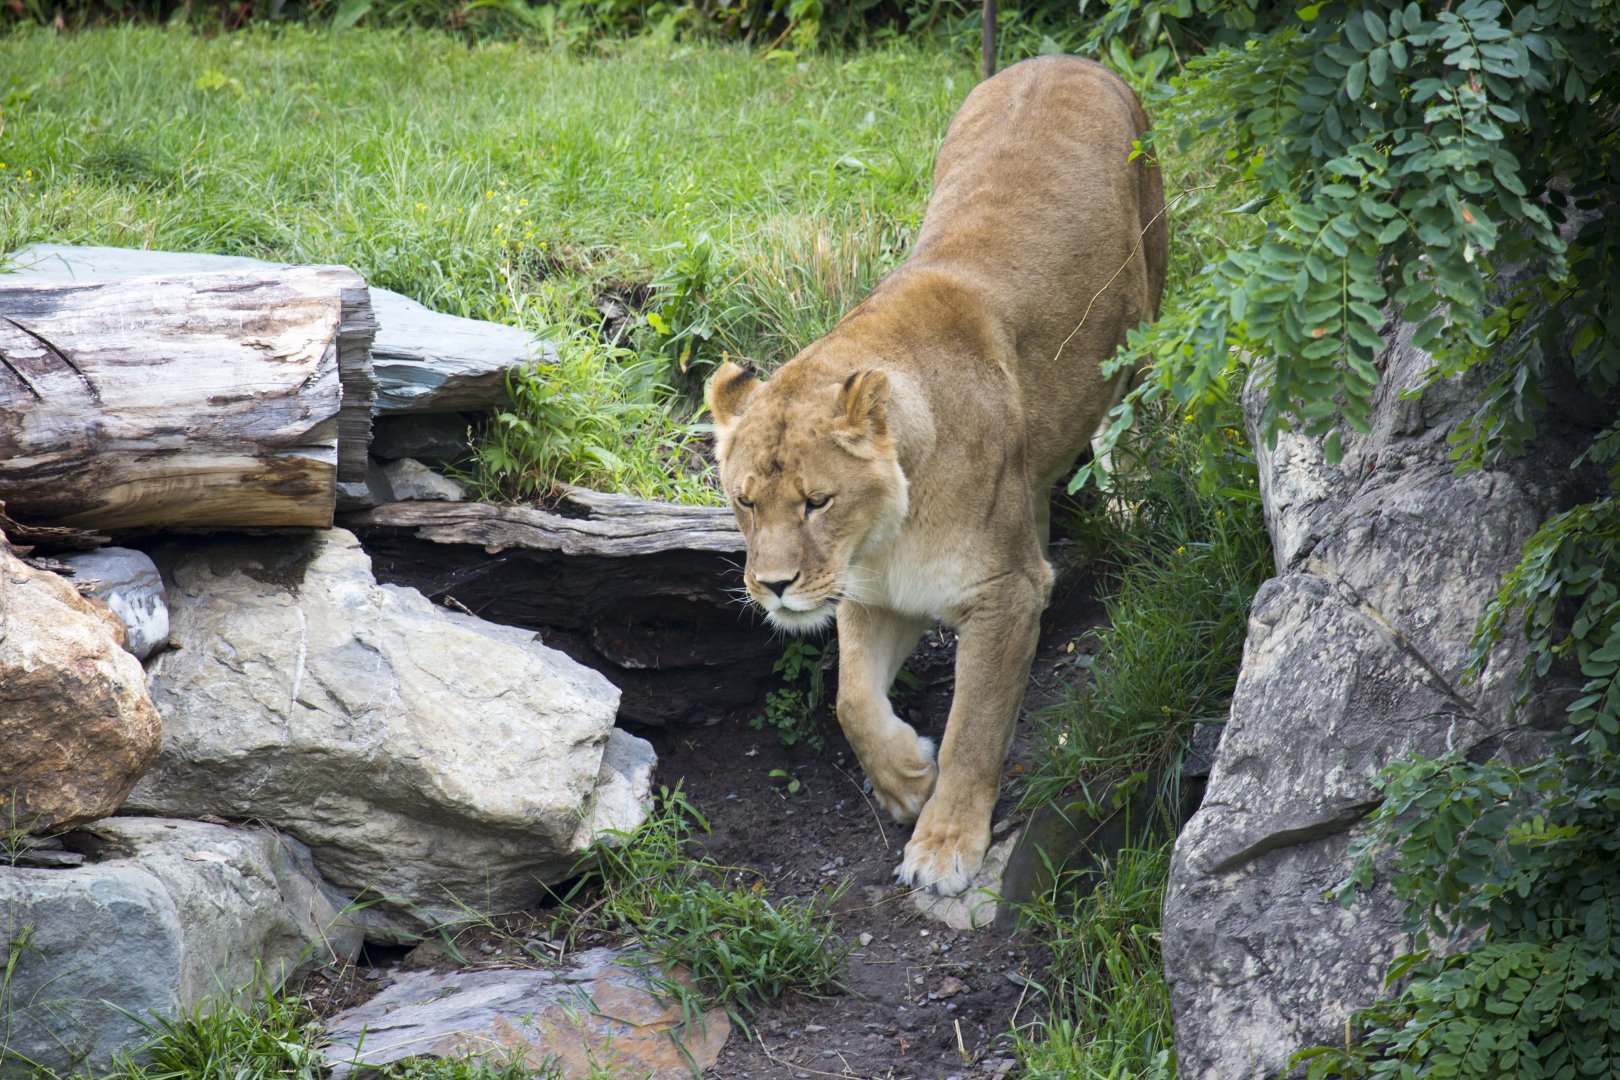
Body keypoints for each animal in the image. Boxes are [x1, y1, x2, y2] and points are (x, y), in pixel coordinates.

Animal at [705, 55, 1167, 896]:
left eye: (817, 501)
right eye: (744, 502)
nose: (774, 587)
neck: (884, 536)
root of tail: (1062, 57)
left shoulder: (1002, 595)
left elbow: (974, 729)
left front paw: (945, 842)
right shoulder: (869, 596)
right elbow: (851, 700)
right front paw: (903, 781)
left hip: (1148, 303)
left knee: (1135, 408)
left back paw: (1128, 499)